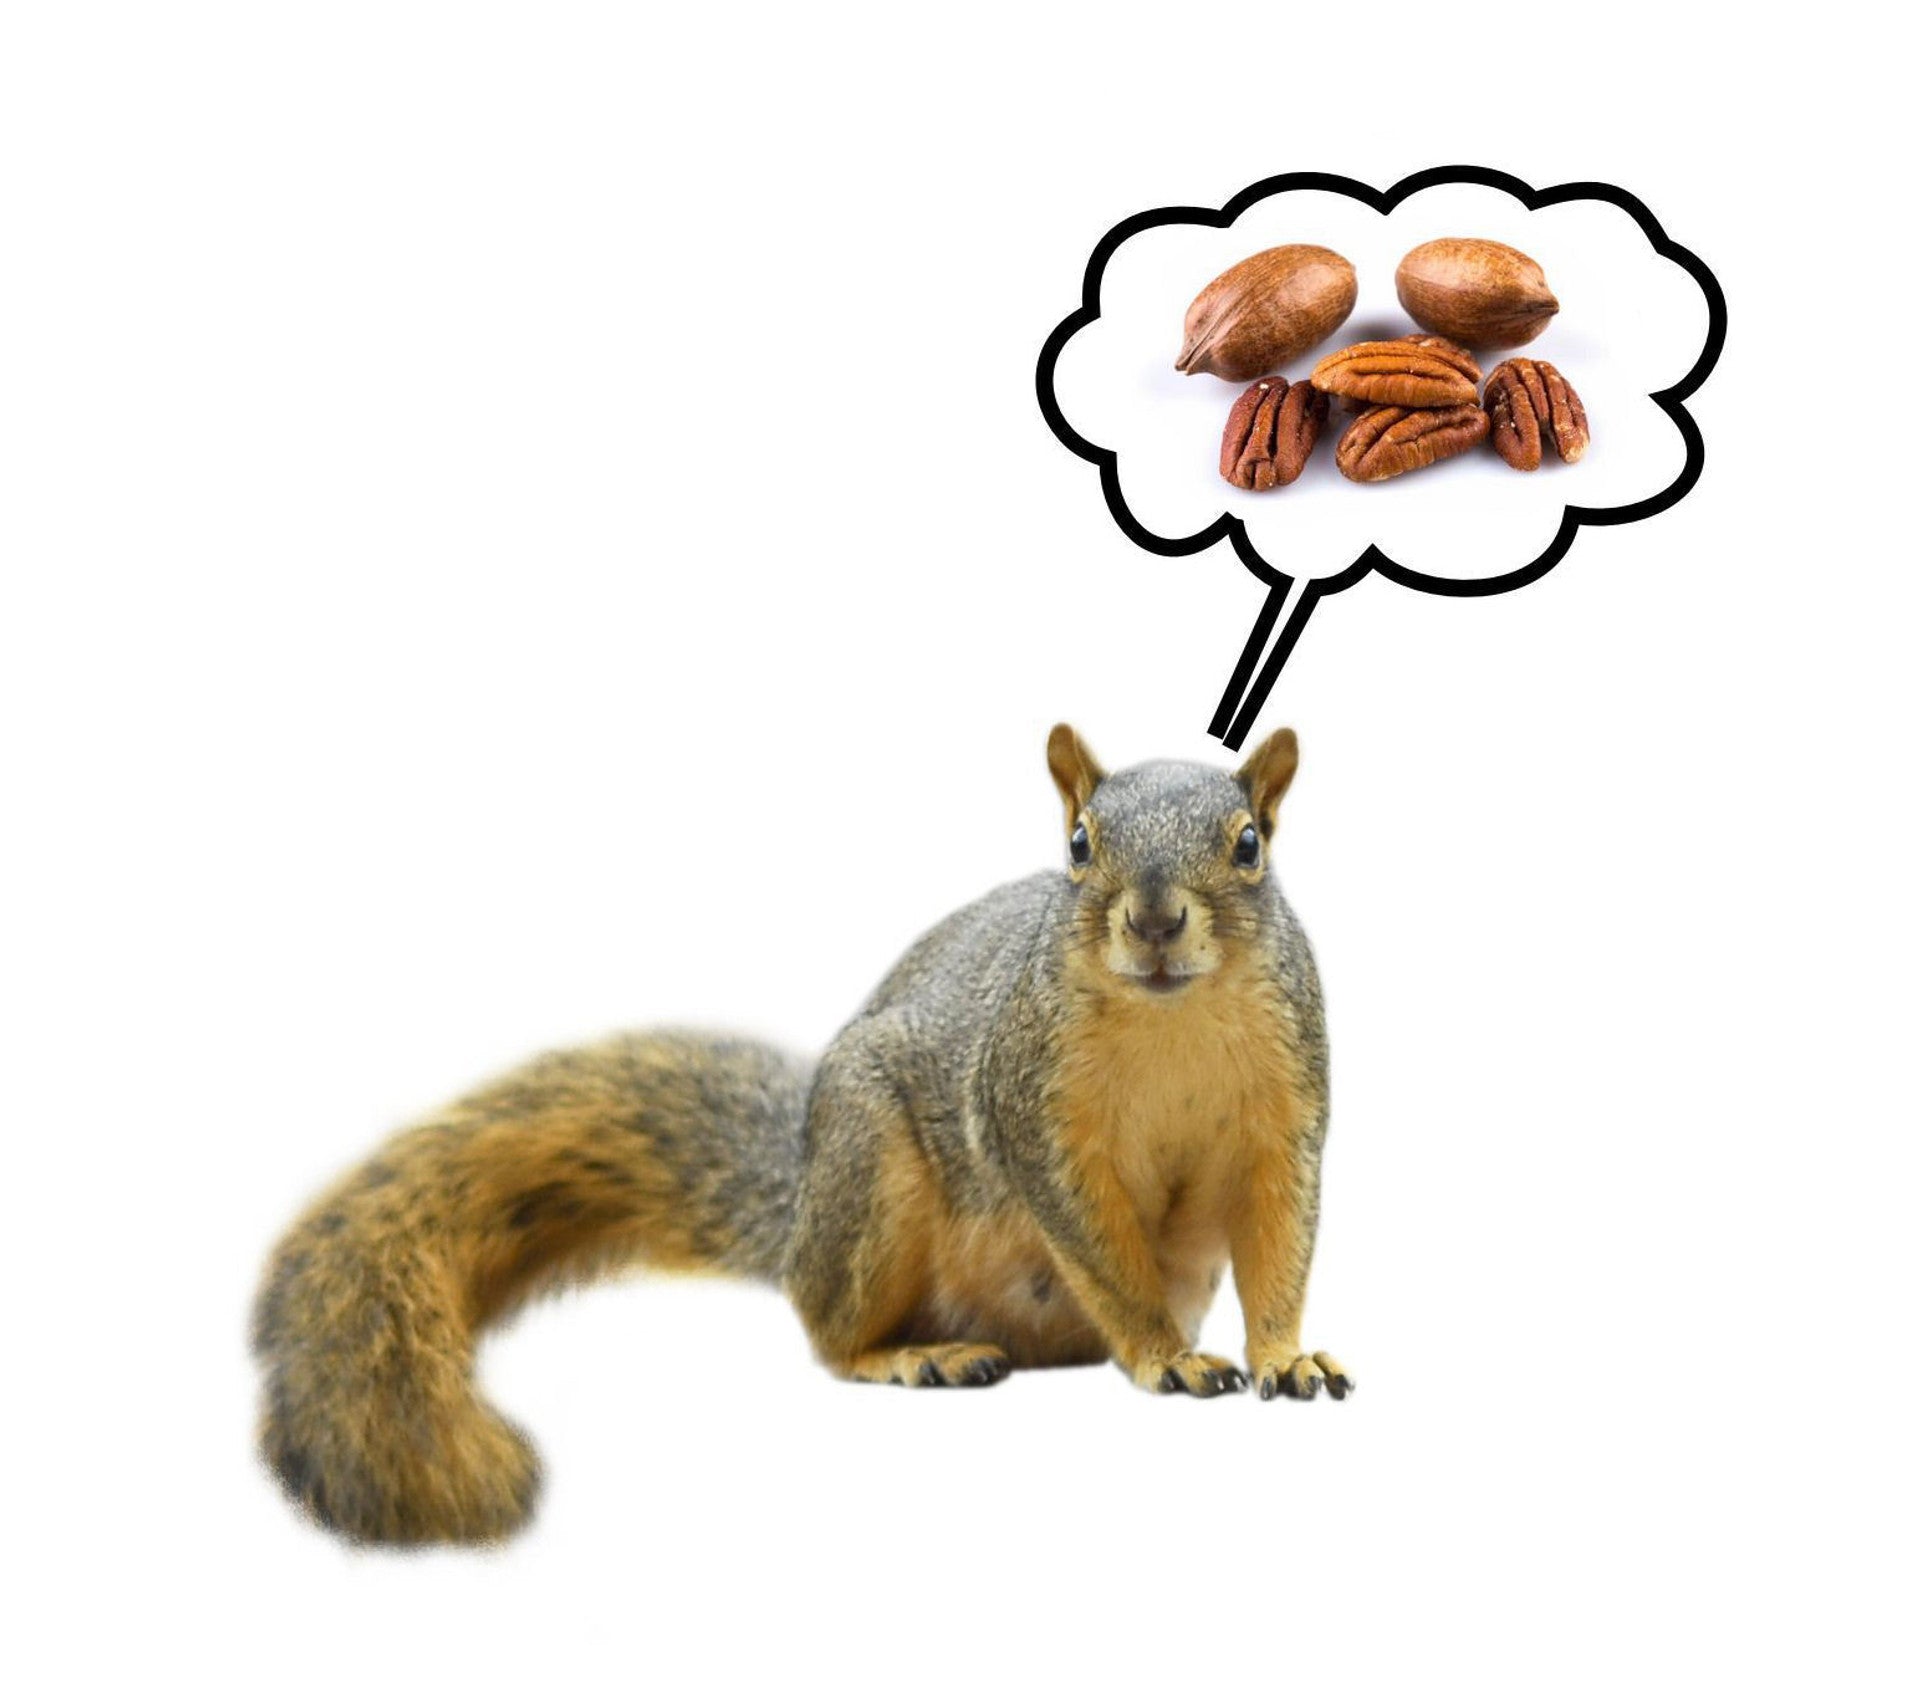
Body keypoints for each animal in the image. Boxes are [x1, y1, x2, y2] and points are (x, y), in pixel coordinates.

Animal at [252, 724, 1349, 1544]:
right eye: (1078, 843)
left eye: (1250, 844)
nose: (1156, 922)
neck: (1173, 1020)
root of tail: (799, 1209)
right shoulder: (1032, 1109)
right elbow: (1103, 1250)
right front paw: (1165, 1353)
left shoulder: (1288, 1109)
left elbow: (1280, 1239)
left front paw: (1285, 1355)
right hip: (871, 1182)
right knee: (830, 1334)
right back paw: (916, 1355)